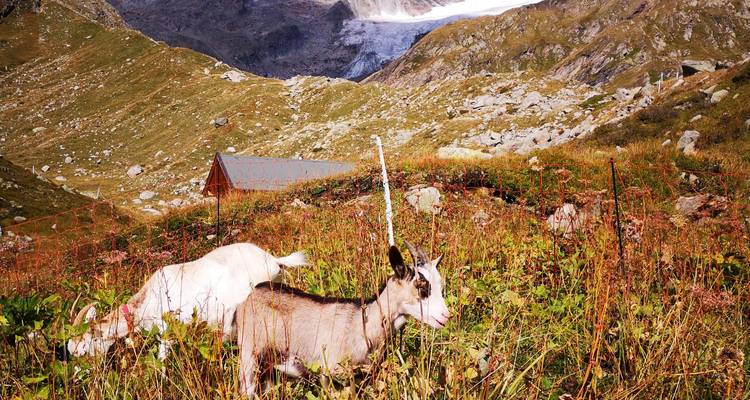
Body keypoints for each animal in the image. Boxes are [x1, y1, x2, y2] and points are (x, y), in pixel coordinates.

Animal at [235, 242, 450, 396]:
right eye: (422, 287)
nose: (446, 316)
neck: (362, 325)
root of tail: (253, 292)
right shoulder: (329, 375)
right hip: (249, 355)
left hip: (271, 369)